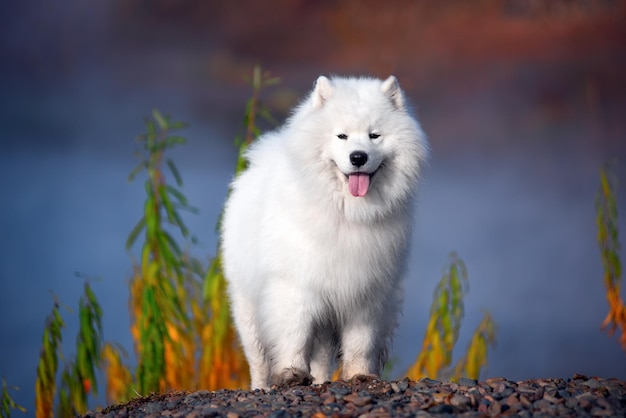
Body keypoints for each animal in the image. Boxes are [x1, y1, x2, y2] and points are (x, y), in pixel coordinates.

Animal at [221, 74, 428, 388]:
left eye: (374, 135)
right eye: (341, 136)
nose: (358, 157)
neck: (347, 215)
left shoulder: (364, 292)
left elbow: (359, 343)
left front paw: (359, 375)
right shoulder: (295, 287)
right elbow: (293, 335)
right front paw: (292, 373)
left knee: (320, 358)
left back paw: (320, 382)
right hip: (248, 308)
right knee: (257, 359)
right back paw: (261, 387)